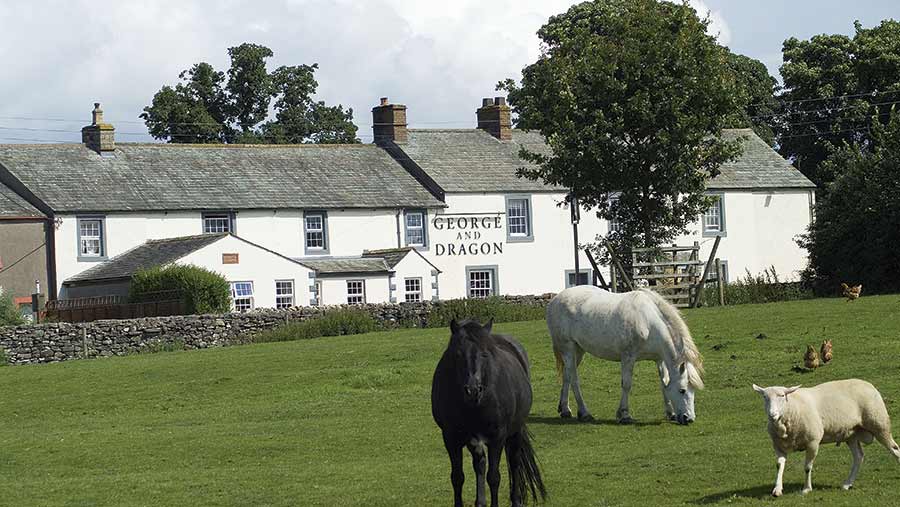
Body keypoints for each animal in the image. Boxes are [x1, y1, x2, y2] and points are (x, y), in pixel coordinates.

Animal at [430, 322, 544, 507]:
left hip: (515, 431)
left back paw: (516, 500)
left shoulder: (497, 437)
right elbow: (457, 477)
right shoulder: (451, 437)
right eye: (458, 354)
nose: (473, 390)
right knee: (480, 463)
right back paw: (480, 501)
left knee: (514, 462)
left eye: (484, 354)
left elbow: (494, 477)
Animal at [548, 286, 704, 424]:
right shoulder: (628, 357)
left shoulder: (659, 360)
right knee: (574, 379)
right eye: (682, 390)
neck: (648, 322)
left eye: (693, 390)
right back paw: (584, 413)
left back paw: (565, 409)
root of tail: (555, 300)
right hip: (568, 349)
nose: (689, 419)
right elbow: (627, 384)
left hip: (578, 351)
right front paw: (624, 415)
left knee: (567, 376)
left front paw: (670, 413)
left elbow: (664, 383)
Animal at [752, 380, 900, 496]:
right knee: (858, 457)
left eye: (782, 396)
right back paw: (847, 484)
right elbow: (779, 465)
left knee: (895, 449)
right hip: (851, 434)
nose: (772, 415)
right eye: (765, 397)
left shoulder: (812, 442)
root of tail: (869, 384)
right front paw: (777, 489)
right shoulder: (778, 446)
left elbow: (807, 467)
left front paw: (806, 489)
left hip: (879, 424)